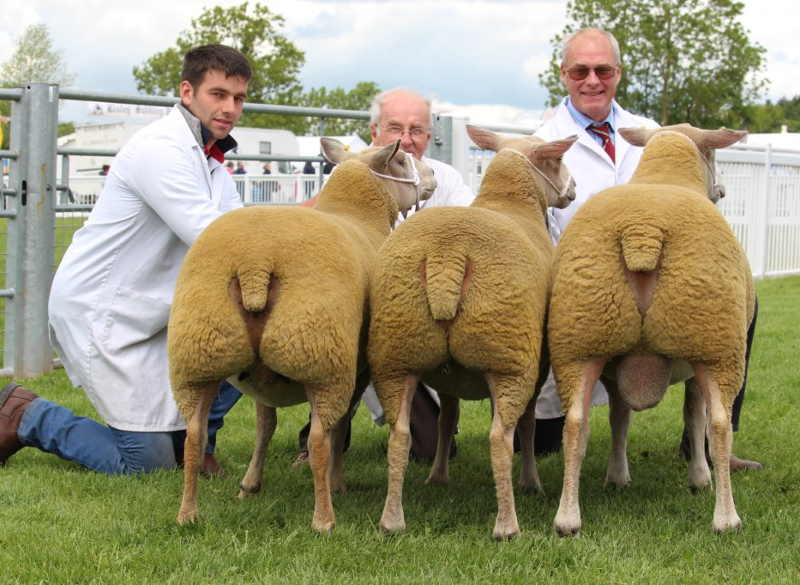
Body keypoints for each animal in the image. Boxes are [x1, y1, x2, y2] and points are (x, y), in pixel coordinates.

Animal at [165, 136, 434, 528]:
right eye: (400, 160)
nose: (432, 176)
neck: (356, 212)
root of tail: (255, 262)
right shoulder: (356, 370)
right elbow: (339, 430)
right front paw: (337, 483)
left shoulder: (261, 384)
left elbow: (264, 428)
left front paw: (250, 485)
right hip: (321, 354)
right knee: (320, 437)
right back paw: (324, 519)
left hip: (199, 352)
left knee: (193, 436)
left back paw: (188, 514)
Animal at [366, 124, 580, 540]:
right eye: (559, 159)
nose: (574, 187)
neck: (511, 202)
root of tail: (447, 255)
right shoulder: (535, 367)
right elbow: (527, 424)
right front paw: (531, 483)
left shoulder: (447, 376)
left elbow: (447, 421)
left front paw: (438, 477)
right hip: (507, 355)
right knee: (501, 438)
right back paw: (507, 525)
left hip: (396, 353)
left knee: (399, 436)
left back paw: (391, 520)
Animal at [548, 125, 752, 536]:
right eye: (714, 156)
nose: (722, 189)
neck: (665, 173)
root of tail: (643, 232)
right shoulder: (693, 365)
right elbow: (695, 418)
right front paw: (699, 478)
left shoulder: (613, 370)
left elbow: (619, 418)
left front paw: (617, 476)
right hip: (715, 340)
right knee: (720, 425)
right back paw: (726, 519)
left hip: (580, 337)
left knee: (576, 425)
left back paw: (567, 519)